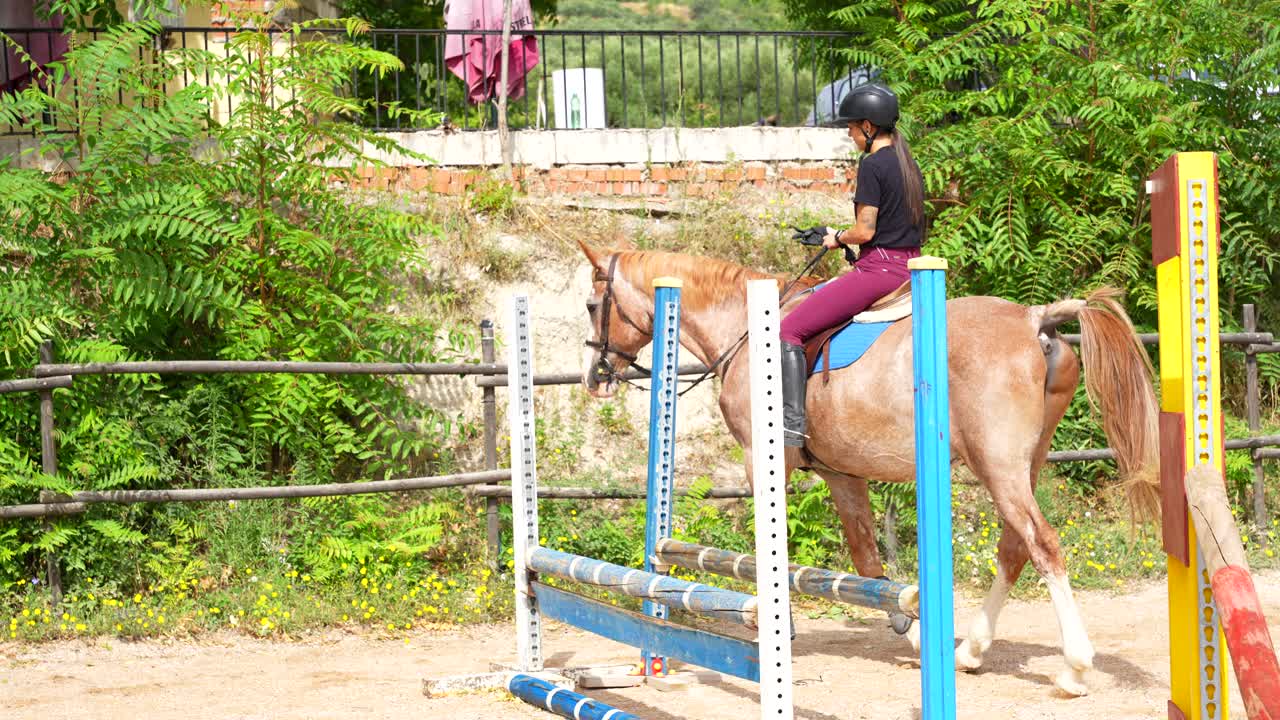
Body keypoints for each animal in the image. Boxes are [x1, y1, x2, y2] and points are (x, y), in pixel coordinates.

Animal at [576, 242, 1160, 698]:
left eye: (591, 304)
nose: (595, 378)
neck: (743, 329)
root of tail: (1034, 317)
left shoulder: (763, 458)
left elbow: (773, 549)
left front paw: (779, 625)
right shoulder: (841, 472)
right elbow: (867, 561)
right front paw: (917, 635)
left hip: (997, 465)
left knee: (1042, 544)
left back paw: (1074, 669)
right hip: (1026, 463)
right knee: (1015, 547)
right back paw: (970, 650)